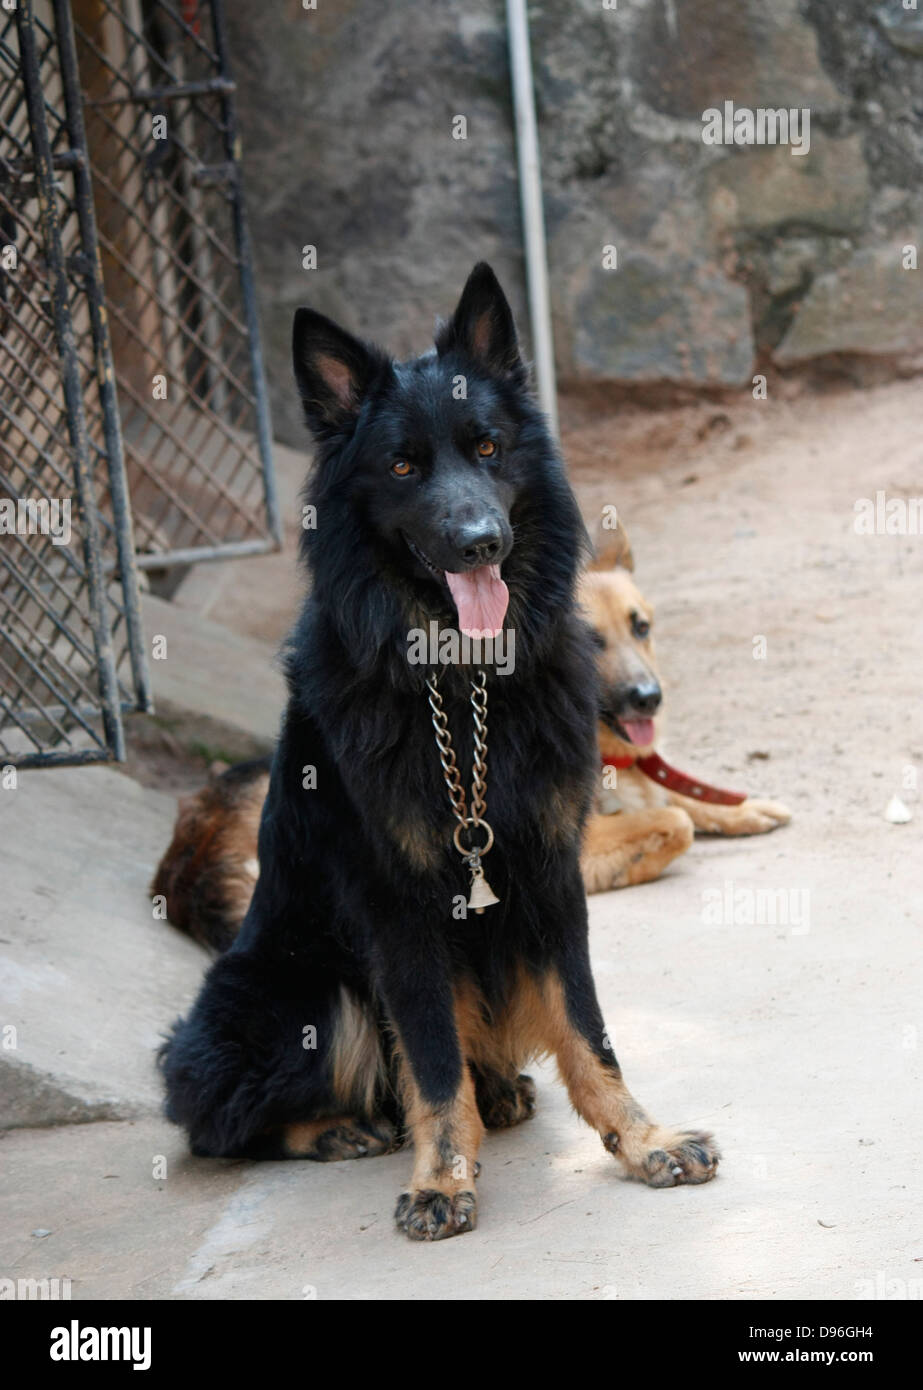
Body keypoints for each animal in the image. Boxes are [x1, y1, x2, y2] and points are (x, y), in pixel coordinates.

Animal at [160, 261, 722, 1239]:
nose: (480, 543)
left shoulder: (549, 875)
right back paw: (337, 1128)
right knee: (217, 1119)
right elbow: (427, 1057)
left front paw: (641, 1139)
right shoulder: (400, 910)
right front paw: (442, 1177)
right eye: (402, 466)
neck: (459, 689)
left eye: (488, 448)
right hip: (304, 993)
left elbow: (588, 1031)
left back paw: (493, 1093)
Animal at [581, 525, 789, 895]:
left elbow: (687, 798)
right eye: (590, 642)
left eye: (641, 627)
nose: (650, 698)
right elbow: (678, 821)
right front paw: (634, 868)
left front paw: (748, 809)